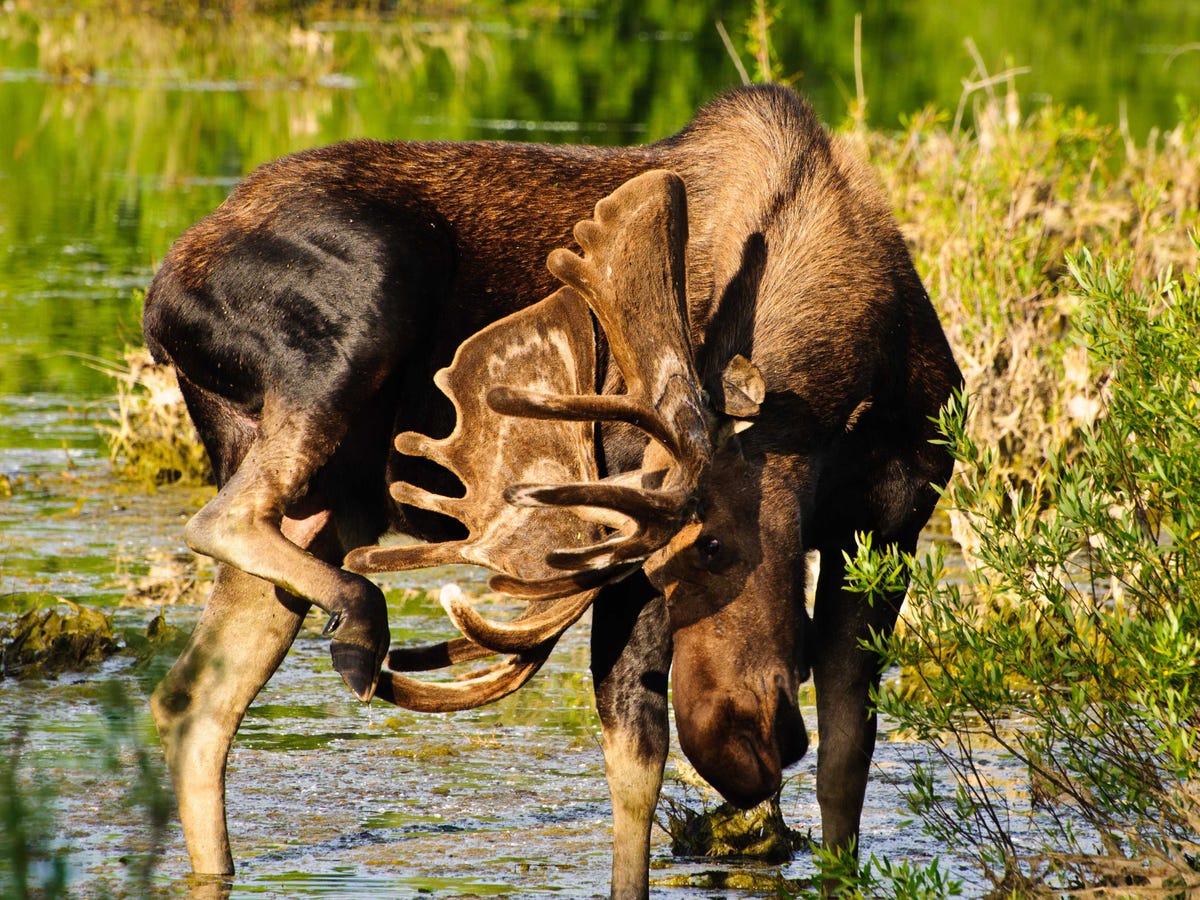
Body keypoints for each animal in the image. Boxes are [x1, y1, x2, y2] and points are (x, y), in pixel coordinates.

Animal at [145, 82, 960, 897]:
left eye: (719, 546)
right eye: (683, 557)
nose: (738, 746)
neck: (845, 393)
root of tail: (158, 302)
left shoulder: (893, 523)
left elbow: (845, 764)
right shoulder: (623, 546)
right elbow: (636, 769)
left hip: (320, 498)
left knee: (195, 703)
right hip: (366, 303)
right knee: (222, 524)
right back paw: (360, 620)